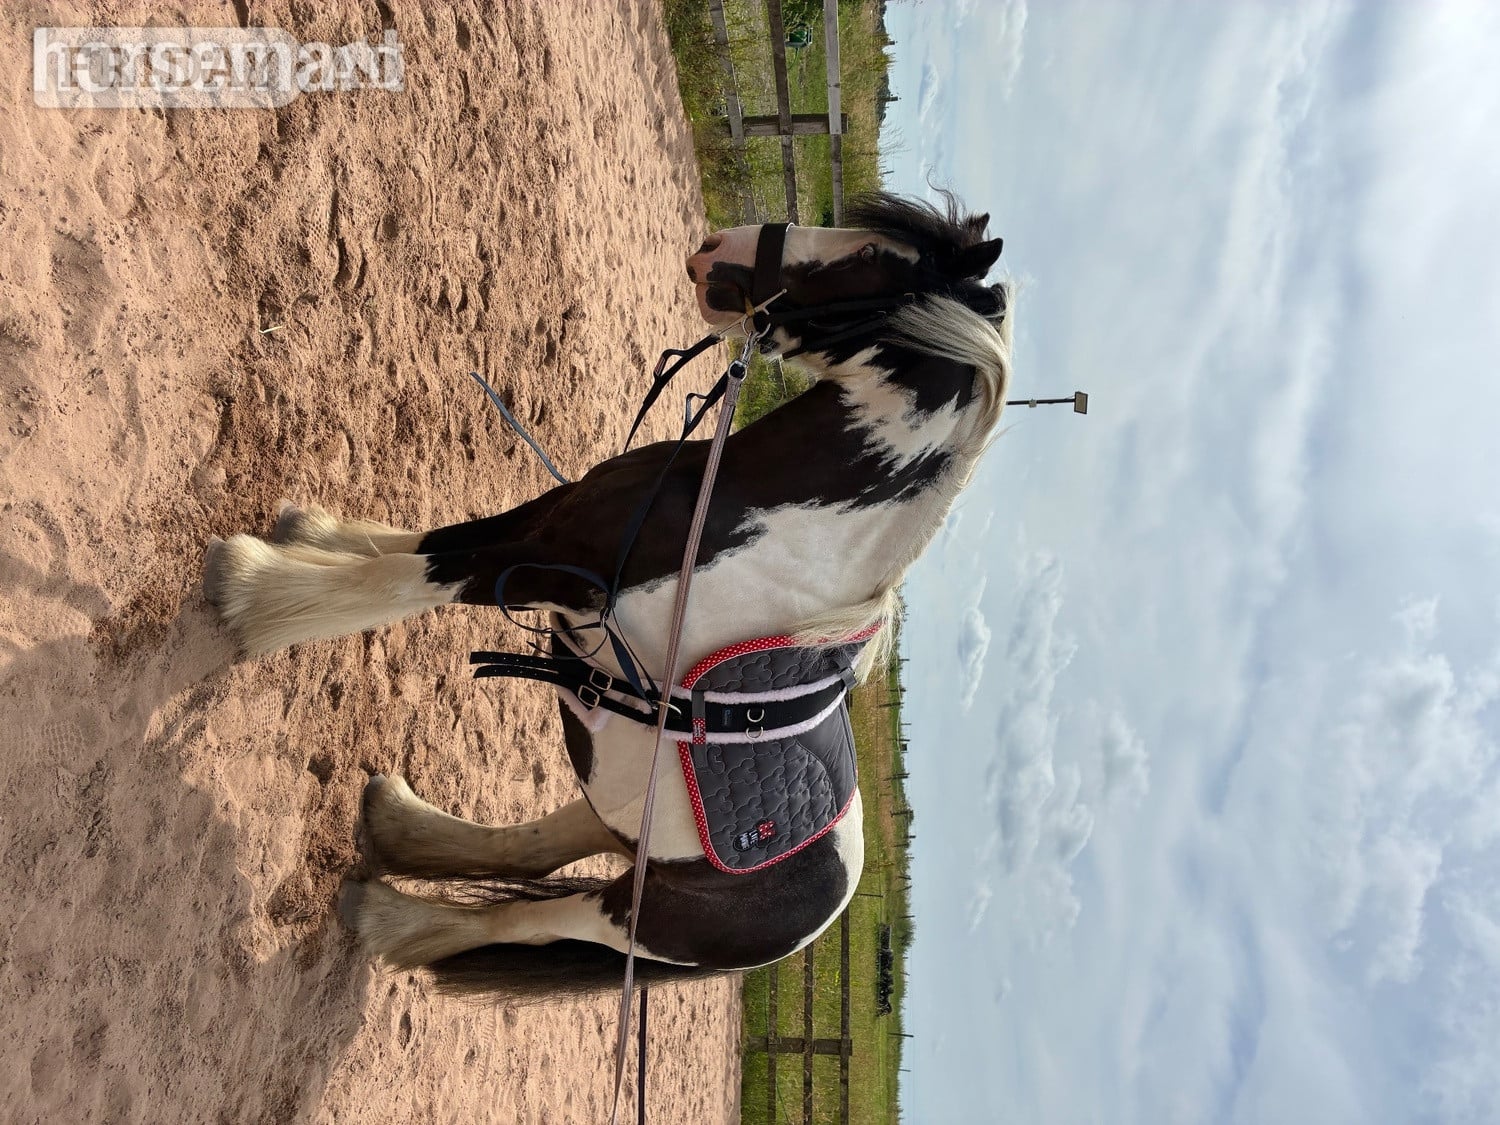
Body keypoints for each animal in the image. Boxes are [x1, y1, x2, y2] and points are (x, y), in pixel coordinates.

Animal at [203, 191, 1013, 995]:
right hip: (631, 822)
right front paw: (309, 534)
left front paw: (250, 592)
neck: (758, 512)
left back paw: (392, 917)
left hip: (638, 917)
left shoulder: (551, 567)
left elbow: (417, 578)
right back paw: (396, 823)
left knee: (524, 919)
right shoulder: (556, 518)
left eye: (873, 255)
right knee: (539, 845)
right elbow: (432, 542)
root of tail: (825, 911)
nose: (716, 250)